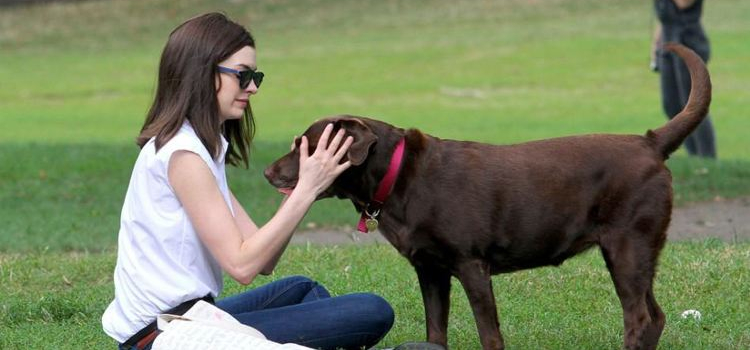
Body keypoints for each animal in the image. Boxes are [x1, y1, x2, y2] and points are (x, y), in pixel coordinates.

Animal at [268, 44, 712, 350]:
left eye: (303, 146)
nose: (267, 172)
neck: (398, 176)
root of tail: (650, 142)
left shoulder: (471, 264)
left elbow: (490, 335)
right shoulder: (430, 270)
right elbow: (435, 331)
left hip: (627, 246)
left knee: (639, 318)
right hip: (635, 251)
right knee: (655, 316)